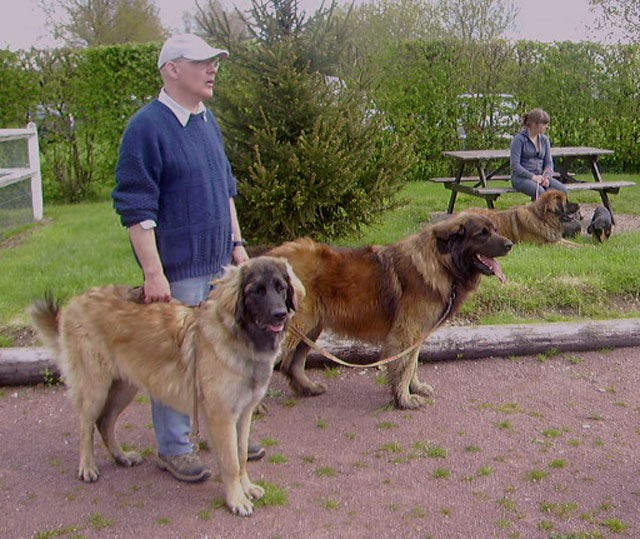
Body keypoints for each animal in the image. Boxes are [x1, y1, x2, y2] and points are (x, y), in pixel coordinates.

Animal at [31, 258, 306, 520]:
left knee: (104, 422)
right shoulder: (222, 416)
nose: (280, 314)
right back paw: (87, 467)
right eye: (257, 291)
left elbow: (241, 456)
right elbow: (229, 462)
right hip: (95, 388)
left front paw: (246, 488)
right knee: (86, 426)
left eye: (281, 288)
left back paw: (121, 457)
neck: (239, 337)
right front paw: (236, 500)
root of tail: (75, 301)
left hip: (124, 388)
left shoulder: (244, 413)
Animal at [268, 213, 512, 408]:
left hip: (310, 327)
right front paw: (404, 399)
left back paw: (308, 388)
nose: (510, 244)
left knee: (292, 364)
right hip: (293, 327)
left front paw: (415, 388)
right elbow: (404, 367)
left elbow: (413, 363)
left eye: (495, 230)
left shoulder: (417, 333)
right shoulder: (407, 331)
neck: (441, 262)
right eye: (482, 234)